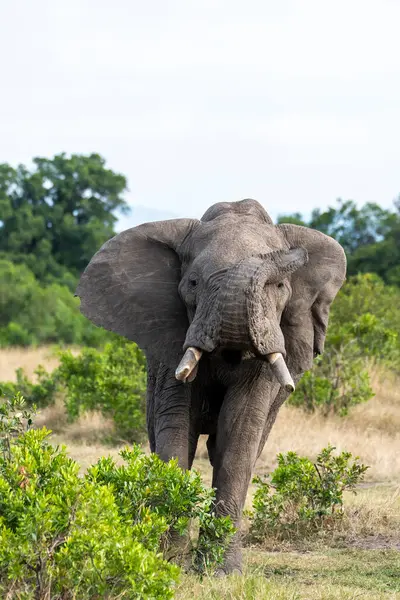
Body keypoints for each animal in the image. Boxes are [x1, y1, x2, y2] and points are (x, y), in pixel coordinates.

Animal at [76, 199, 346, 576]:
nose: (296, 253)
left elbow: (239, 437)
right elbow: (177, 431)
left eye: (280, 287)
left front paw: (221, 571)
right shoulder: (171, 337)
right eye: (192, 283)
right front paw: (168, 562)